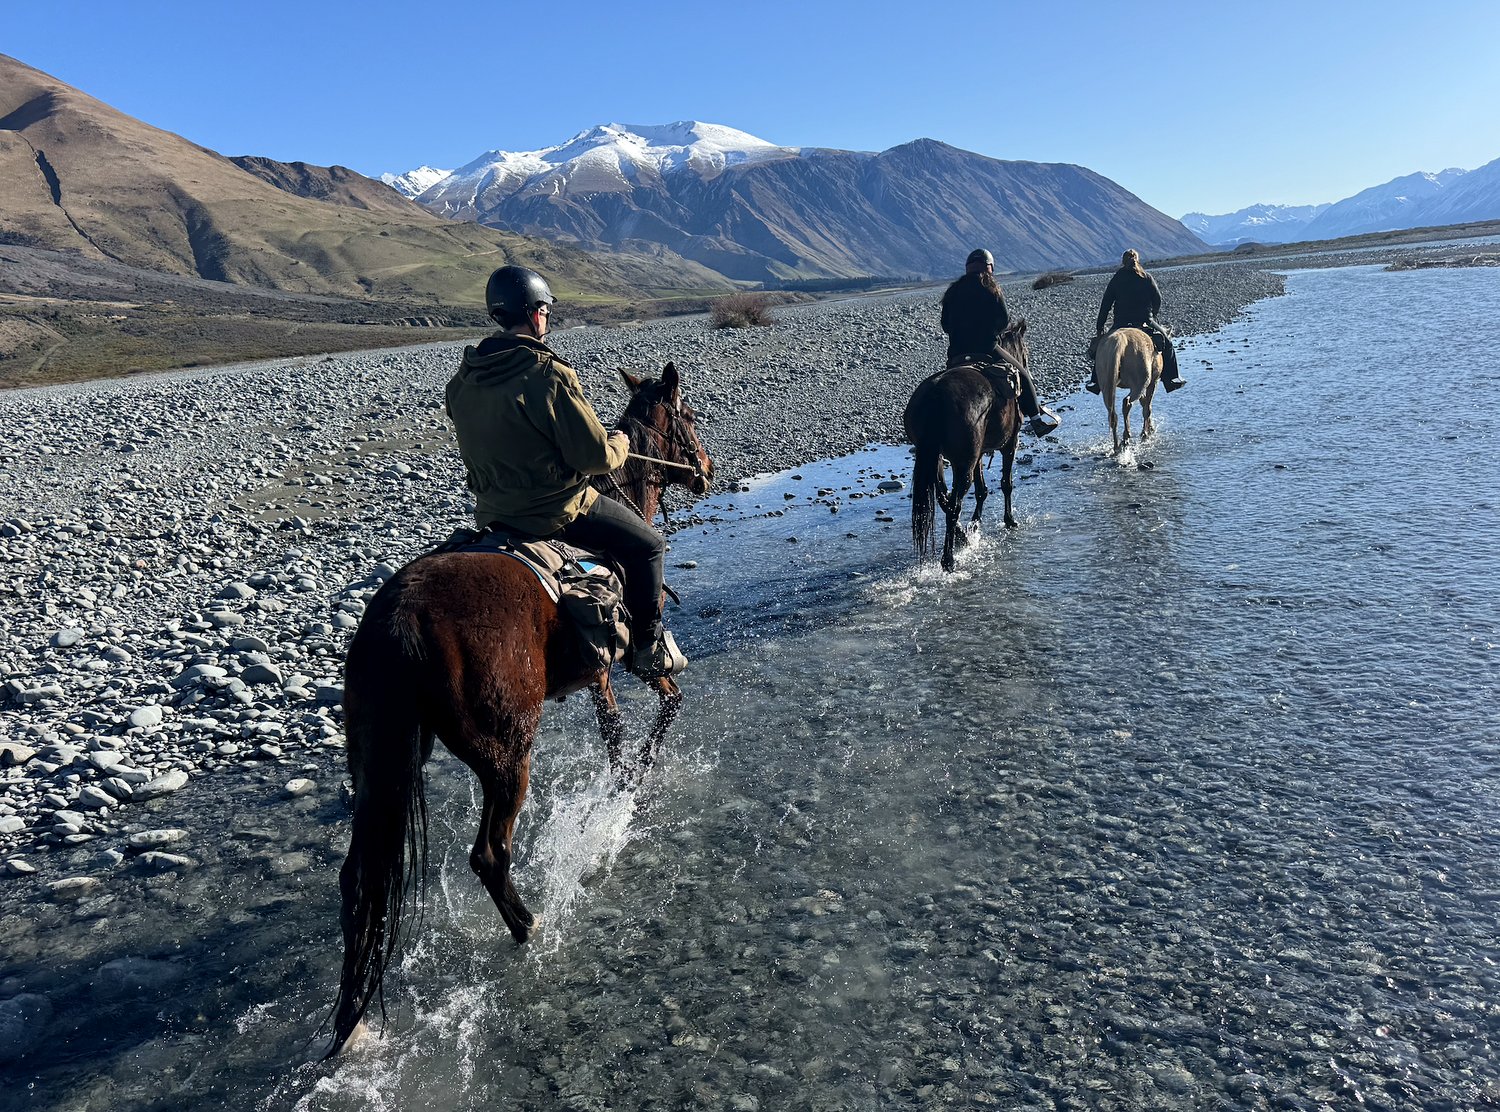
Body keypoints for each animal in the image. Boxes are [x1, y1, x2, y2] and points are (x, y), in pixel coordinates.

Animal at [325, 362, 712, 1058]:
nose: (707, 469)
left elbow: (613, 734)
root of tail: (399, 618)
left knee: (357, 882)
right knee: (488, 854)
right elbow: (665, 708)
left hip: (378, 762)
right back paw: (530, 926)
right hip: (506, 755)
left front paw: (620, 785)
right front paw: (636, 785)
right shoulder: (629, 665)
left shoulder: (597, 674)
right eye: (688, 417)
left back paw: (353, 1016)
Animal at [904, 319, 1029, 572]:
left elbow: (982, 490)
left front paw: (974, 527)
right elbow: (1006, 483)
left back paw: (961, 537)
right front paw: (1009, 520)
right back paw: (948, 559)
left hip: (936, 460)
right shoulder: (1010, 444)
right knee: (953, 505)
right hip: (962, 464)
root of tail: (937, 392)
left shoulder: (978, 455)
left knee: (944, 499)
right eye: (1026, 351)